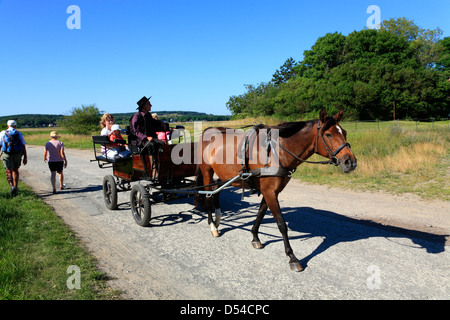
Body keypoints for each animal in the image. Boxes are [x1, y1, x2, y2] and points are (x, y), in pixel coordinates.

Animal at [195, 109, 356, 272]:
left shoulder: (270, 191)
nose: (351, 162)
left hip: (225, 176)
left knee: (216, 190)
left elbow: (260, 214)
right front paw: (292, 257)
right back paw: (212, 225)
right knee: (208, 195)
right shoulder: (269, 192)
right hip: (207, 172)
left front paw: (255, 237)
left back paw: (218, 219)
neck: (276, 151)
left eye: (344, 132)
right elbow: (281, 224)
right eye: (328, 134)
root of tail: (208, 131)